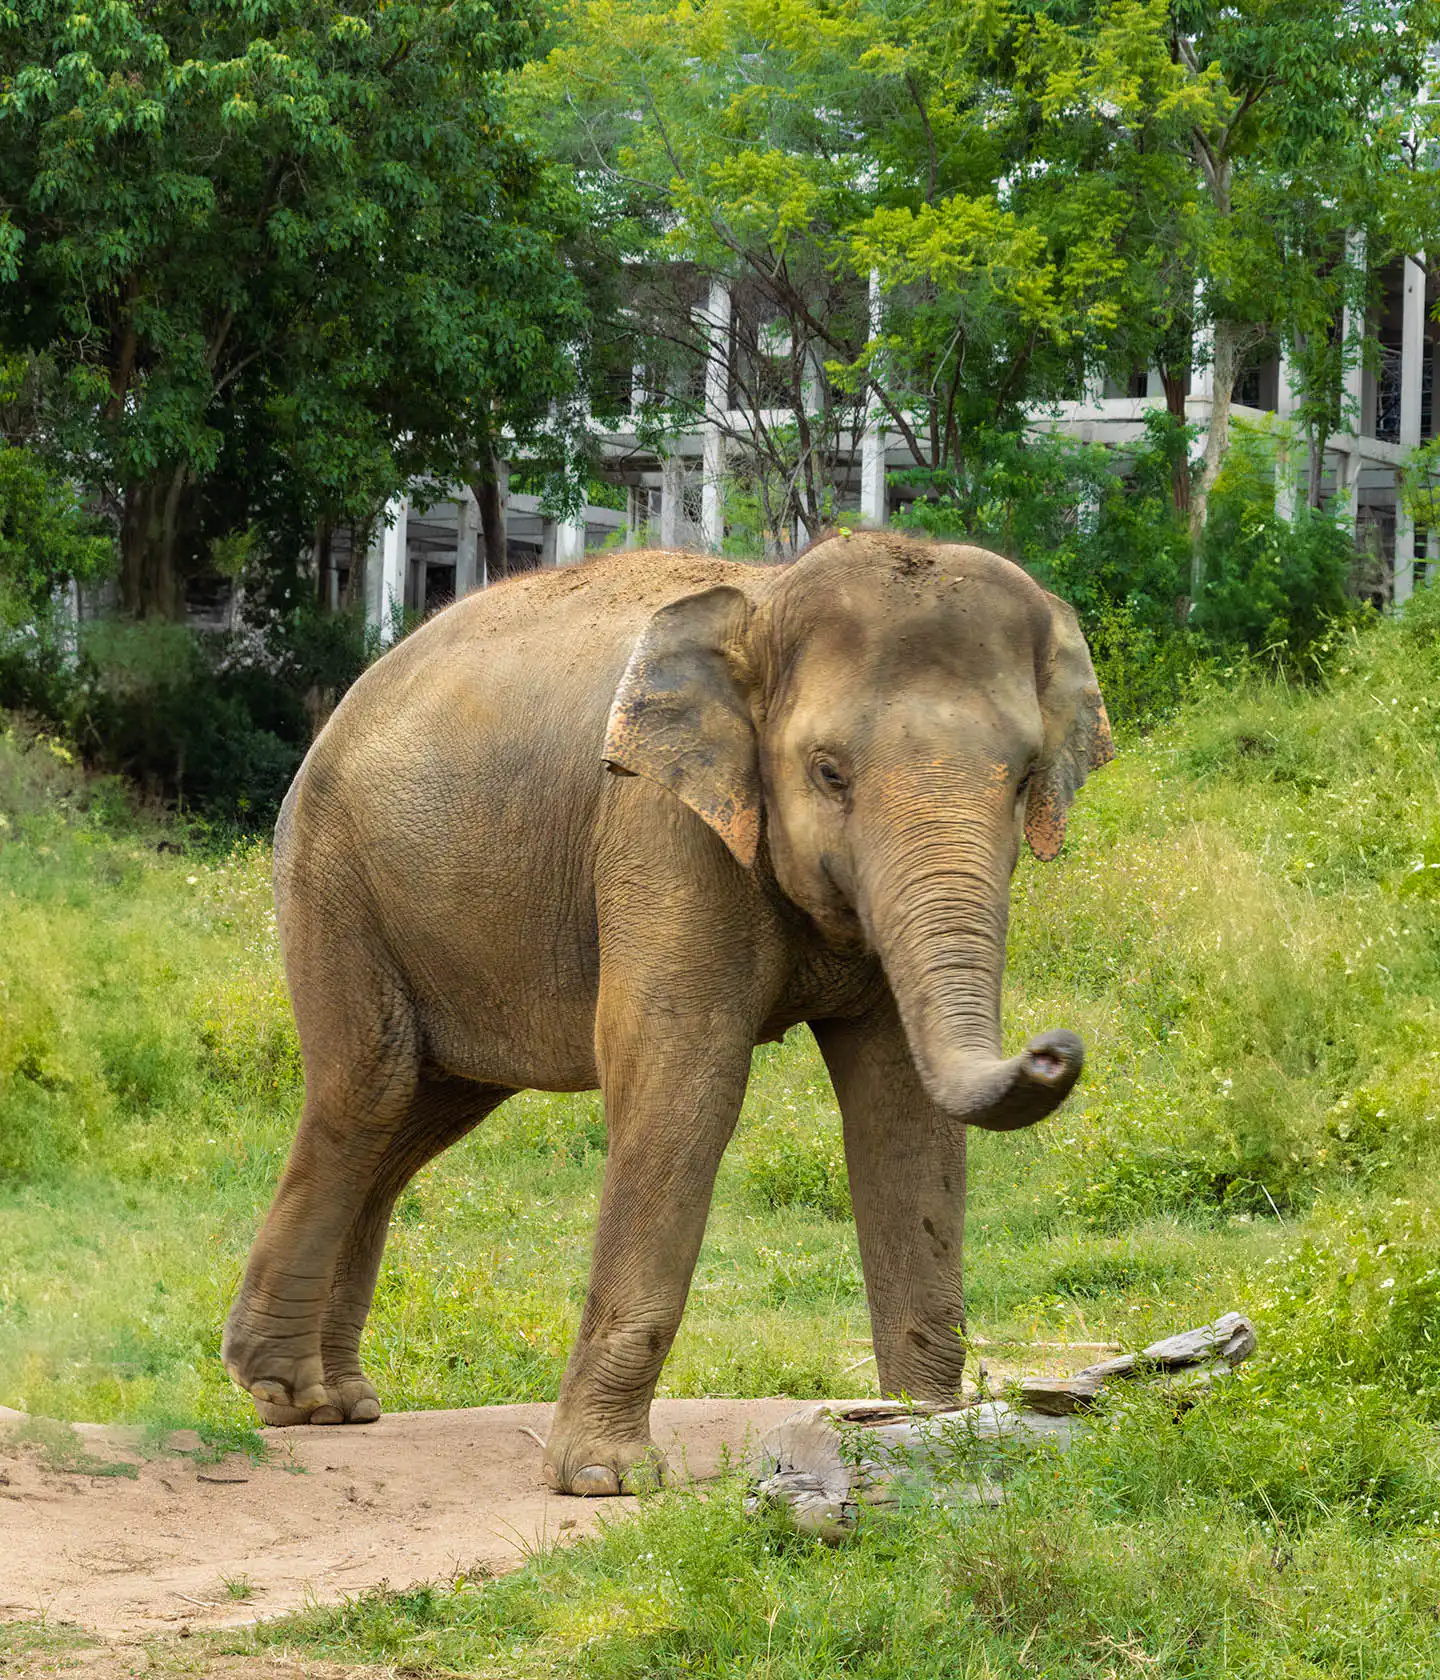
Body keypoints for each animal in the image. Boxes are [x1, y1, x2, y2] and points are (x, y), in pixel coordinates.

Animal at [222, 530, 1113, 1495]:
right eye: (828, 772)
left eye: (1024, 780)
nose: (1053, 1049)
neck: (768, 600)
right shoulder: (659, 820)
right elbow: (682, 1079)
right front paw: (604, 1480)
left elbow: (901, 1108)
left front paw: (927, 1433)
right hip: (333, 878)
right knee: (369, 1091)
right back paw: (287, 1393)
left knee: (418, 1118)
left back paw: (336, 1400)